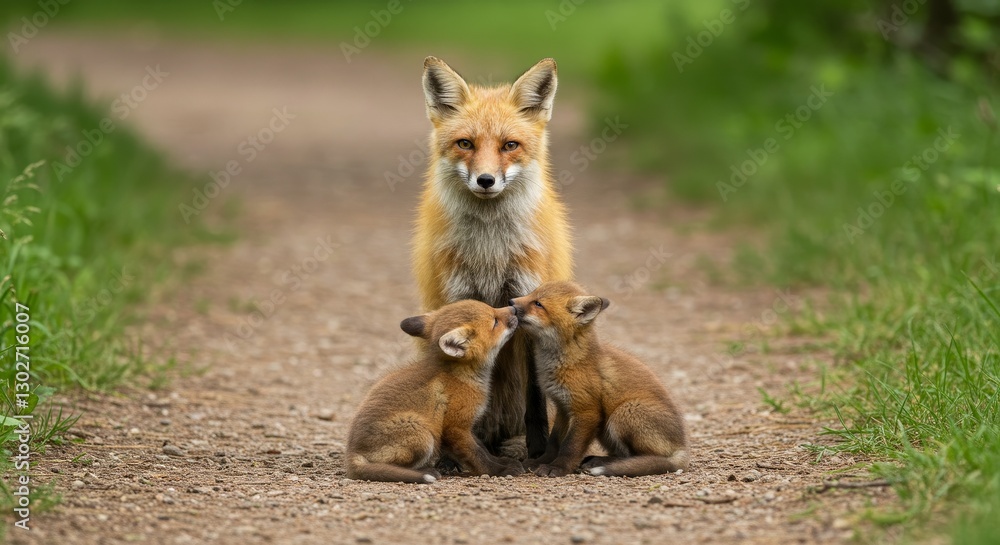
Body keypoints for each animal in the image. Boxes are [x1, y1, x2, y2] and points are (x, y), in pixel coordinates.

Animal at [345, 300, 525, 483]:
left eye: (493, 308)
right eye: (495, 322)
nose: (514, 307)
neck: (462, 375)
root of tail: (352, 452)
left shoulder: (466, 427)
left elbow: (483, 449)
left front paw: (501, 462)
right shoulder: (455, 428)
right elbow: (477, 455)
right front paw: (499, 470)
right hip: (423, 434)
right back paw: (425, 471)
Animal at [413, 56, 573, 458]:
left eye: (509, 145)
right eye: (465, 144)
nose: (485, 180)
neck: (490, 251)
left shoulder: (527, 299)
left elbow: (535, 397)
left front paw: (538, 448)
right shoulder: (459, 297)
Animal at [510, 281, 690, 478]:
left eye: (538, 304)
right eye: (531, 294)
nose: (510, 303)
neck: (568, 361)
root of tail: (681, 446)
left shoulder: (586, 411)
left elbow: (570, 447)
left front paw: (558, 468)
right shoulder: (563, 408)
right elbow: (554, 443)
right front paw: (540, 461)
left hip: (623, 413)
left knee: (642, 457)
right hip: (606, 430)